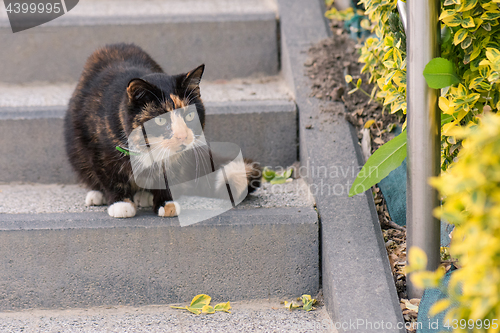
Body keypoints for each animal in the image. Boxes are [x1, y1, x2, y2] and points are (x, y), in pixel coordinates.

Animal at [65, 42, 262, 218]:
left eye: (190, 116)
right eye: (160, 119)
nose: (182, 136)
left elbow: (168, 175)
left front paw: (167, 203)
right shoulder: (99, 149)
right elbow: (111, 175)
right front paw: (121, 204)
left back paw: (144, 195)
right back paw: (97, 194)